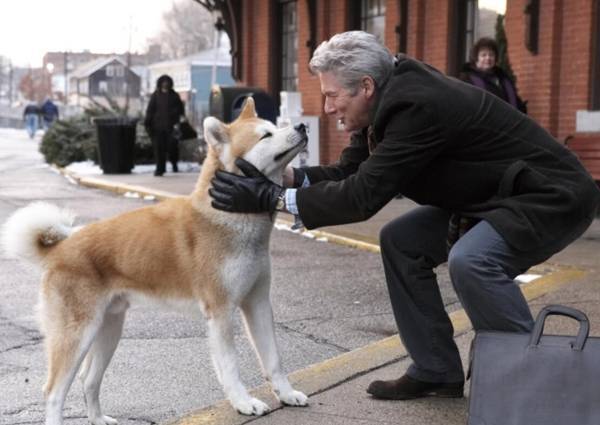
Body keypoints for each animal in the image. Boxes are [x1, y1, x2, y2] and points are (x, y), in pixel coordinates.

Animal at [1, 98, 310, 424]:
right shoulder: (221, 312)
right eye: (266, 135)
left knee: (89, 380)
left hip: (109, 329)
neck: (229, 217)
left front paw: (287, 394)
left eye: (276, 127)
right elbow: (231, 367)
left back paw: (98, 418)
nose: (302, 126)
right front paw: (243, 402)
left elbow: (274, 359)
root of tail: (60, 249)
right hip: (77, 335)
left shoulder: (258, 302)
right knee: (54, 392)